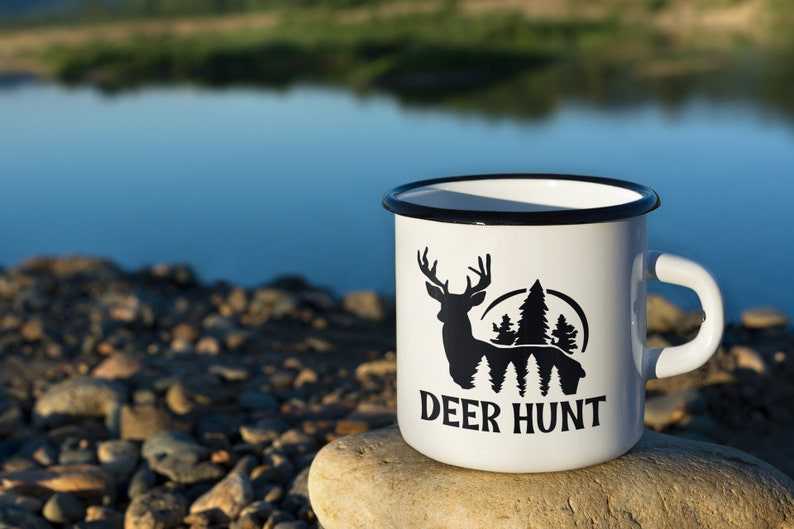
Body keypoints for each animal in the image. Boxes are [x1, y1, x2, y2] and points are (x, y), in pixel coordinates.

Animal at [418, 247, 586, 396]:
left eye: (465, 306)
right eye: (442, 302)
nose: (441, 315)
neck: (459, 355)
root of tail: (581, 369)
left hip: (569, 382)